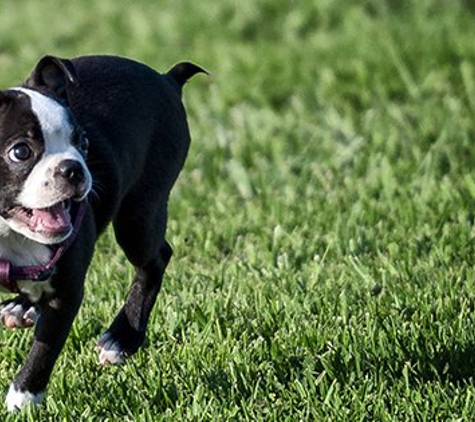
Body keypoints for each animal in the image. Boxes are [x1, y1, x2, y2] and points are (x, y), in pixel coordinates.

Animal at [0, 54, 205, 410]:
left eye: (83, 143)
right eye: (20, 152)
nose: (74, 168)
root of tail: (167, 79)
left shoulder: (67, 294)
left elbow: (44, 350)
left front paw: (22, 400)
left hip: (139, 216)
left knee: (155, 259)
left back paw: (122, 338)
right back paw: (21, 305)